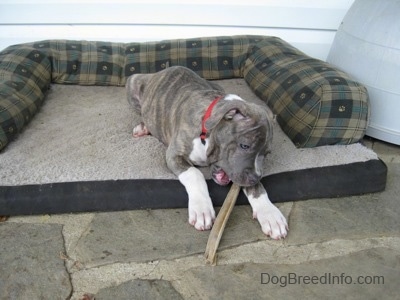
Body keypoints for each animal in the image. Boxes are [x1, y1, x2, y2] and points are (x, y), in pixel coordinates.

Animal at [126, 65, 288, 239]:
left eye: (266, 154)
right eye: (245, 145)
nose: (255, 178)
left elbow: (256, 189)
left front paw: (270, 214)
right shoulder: (175, 155)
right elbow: (195, 174)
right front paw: (202, 209)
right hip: (133, 82)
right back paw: (143, 127)